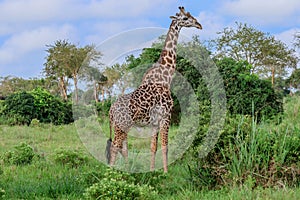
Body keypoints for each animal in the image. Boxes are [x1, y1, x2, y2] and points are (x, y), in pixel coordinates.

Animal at [106, 6, 203, 172]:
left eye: (192, 16)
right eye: (185, 18)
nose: (199, 25)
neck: (165, 77)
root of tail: (110, 111)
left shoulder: (154, 122)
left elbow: (153, 147)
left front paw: (152, 171)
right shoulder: (166, 117)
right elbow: (165, 146)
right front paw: (165, 172)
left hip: (122, 127)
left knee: (123, 148)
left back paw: (125, 171)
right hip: (122, 125)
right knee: (115, 147)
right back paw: (111, 173)